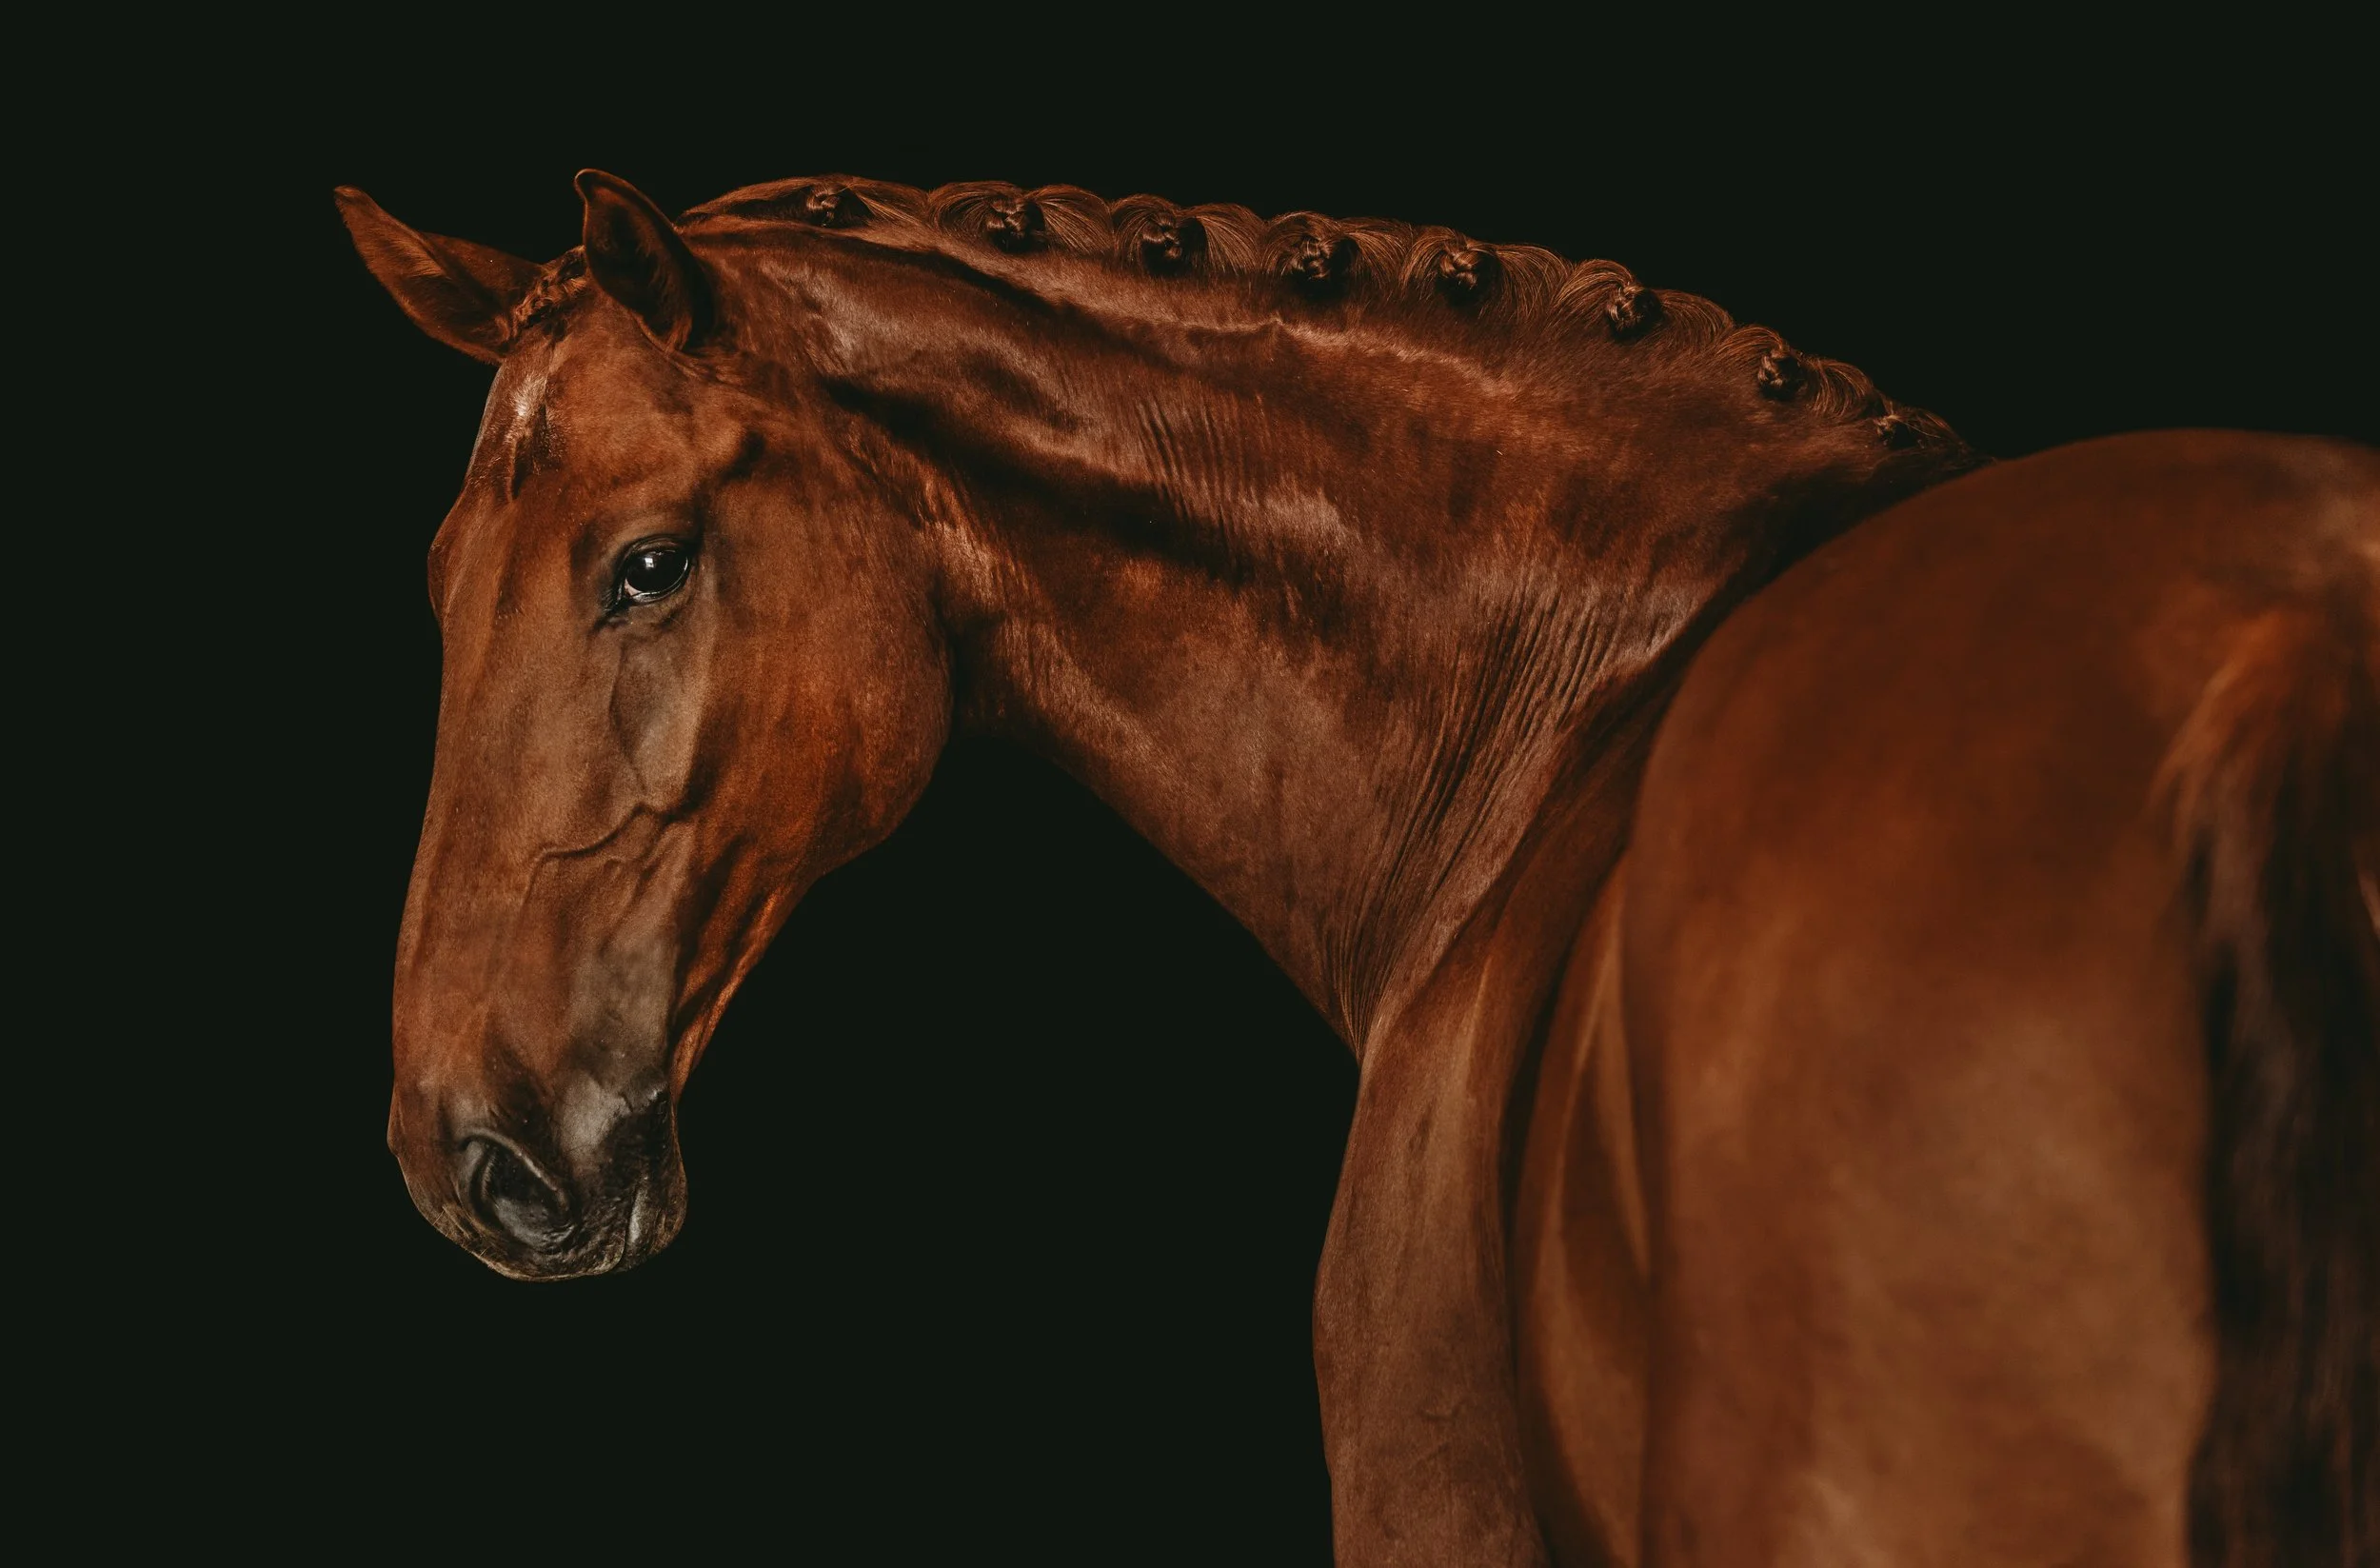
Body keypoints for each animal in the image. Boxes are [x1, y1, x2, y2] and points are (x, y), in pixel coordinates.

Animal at [337, 168, 2377, 1567]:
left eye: (650, 563)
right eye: (440, 579)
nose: (471, 1152)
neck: (1576, 697)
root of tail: (2286, 647)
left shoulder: (1430, 1504)